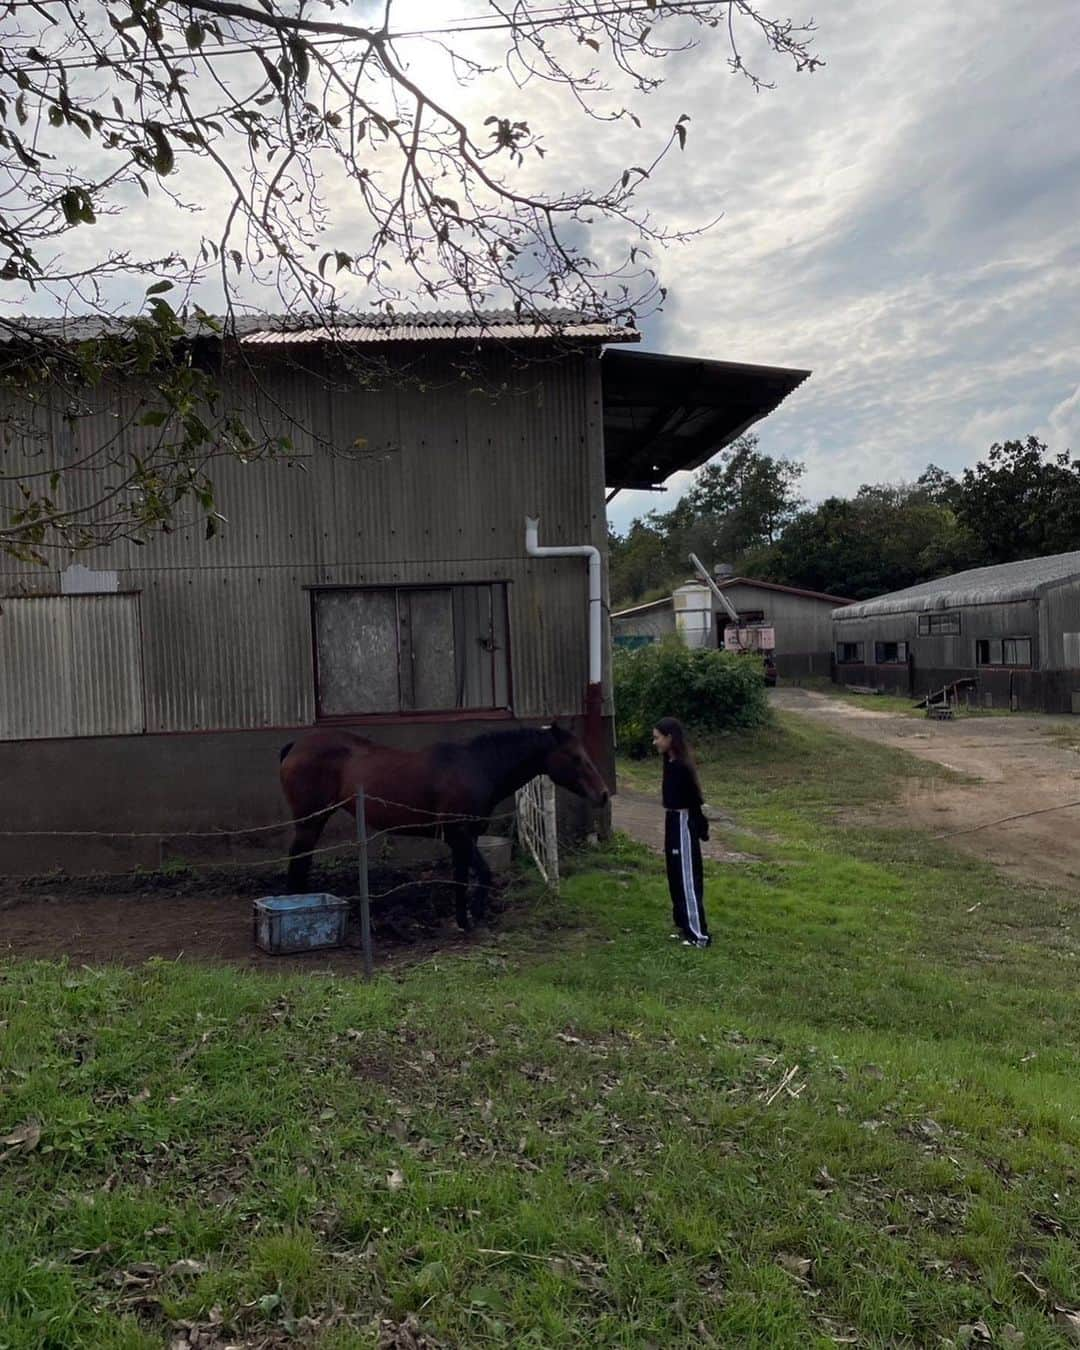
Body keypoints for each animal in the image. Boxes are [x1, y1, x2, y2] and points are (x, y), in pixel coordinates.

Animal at [280, 729, 607, 928]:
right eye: (575, 757)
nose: (602, 794)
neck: (477, 766)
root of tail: (296, 746)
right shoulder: (459, 834)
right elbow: (483, 874)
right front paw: (475, 915)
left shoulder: (464, 838)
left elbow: (460, 878)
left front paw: (463, 920)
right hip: (310, 821)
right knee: (298, 861)